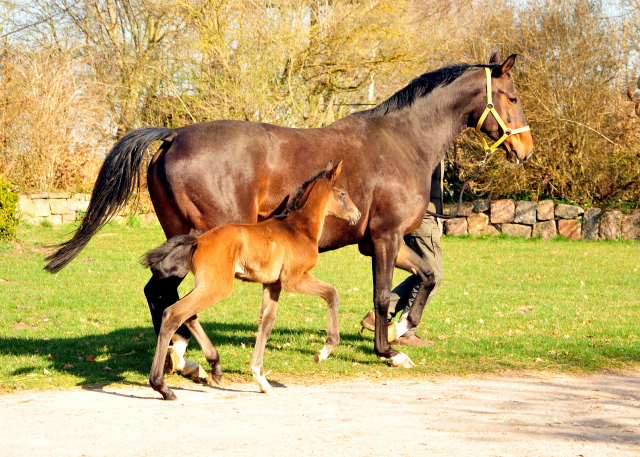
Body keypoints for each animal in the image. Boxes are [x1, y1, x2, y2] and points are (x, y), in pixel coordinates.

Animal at [142, 161, 358, 400]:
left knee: (188, 314)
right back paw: (162, 386)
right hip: (217, 286)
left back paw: (215, 367)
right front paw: (323, 351)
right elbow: (332, 294)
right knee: (173, 313)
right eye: (342, 193)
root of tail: (198, 240)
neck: (298, 229)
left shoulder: (273, 284)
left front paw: (261, 378)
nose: (356, 215)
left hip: (207, 284)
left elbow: (266, 324)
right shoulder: (294, 279)